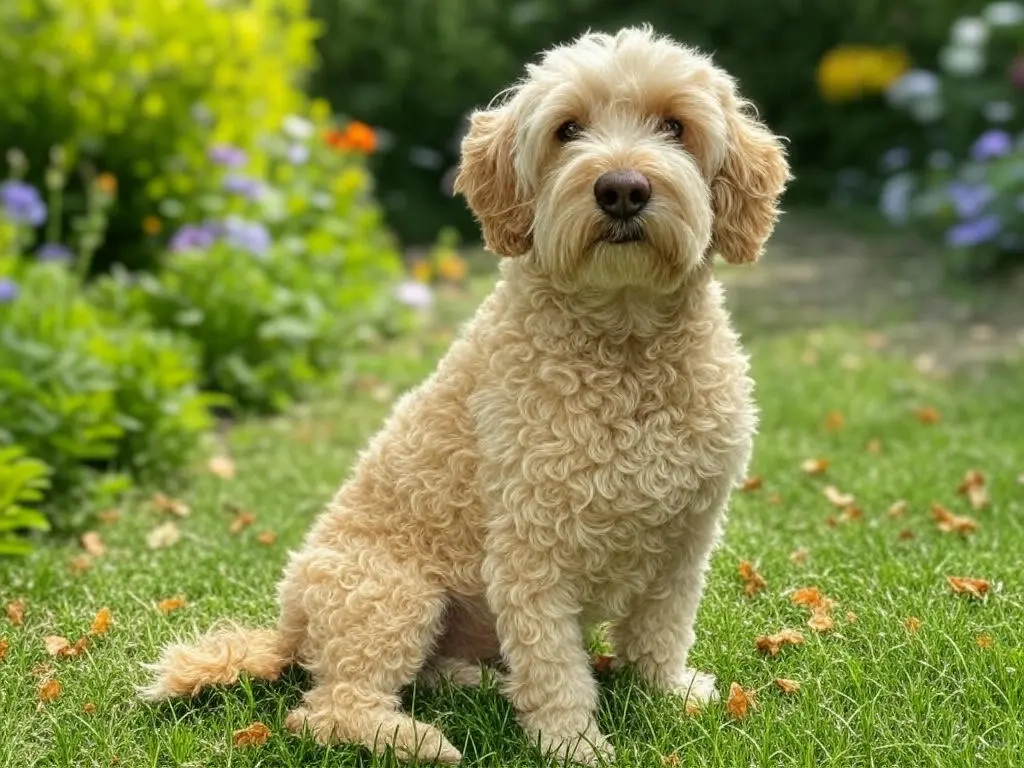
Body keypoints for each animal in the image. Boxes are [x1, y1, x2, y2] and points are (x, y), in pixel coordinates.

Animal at [138, 25, 790, 768]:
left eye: (675, 126)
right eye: (568, 129)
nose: (622, 189)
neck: (623, 347)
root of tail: (288, 624)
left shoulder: (685, 540)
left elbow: (660, 630)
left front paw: (665, 693)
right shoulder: (531, 551)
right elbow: (555, 666)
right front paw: (574, 744)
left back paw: (476, 683)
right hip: (391, 595)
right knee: (327, 710)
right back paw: (415, 739)